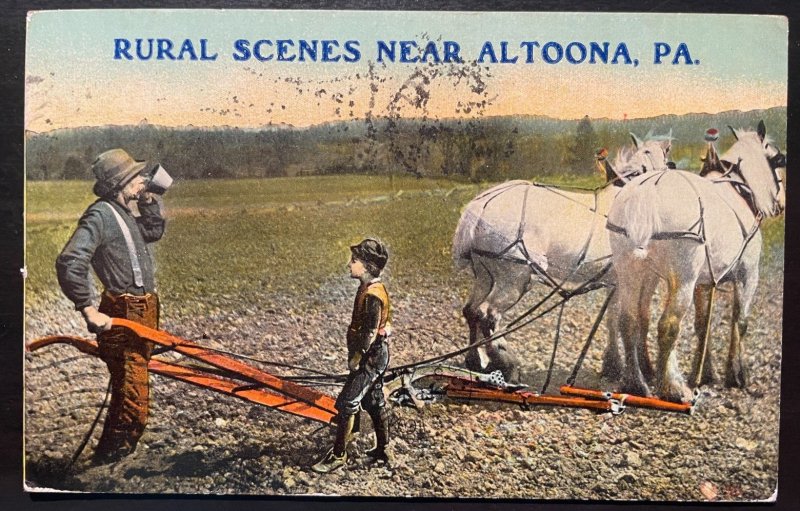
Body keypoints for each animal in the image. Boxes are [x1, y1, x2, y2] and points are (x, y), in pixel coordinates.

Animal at [454, 134, 672, 382]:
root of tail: (480, 205)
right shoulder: (638, 278)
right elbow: (636, 319)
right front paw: (642, 369)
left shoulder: (614, 281)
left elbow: (611, 319)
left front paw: (612, 365)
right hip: (515, 278)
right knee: (489, 315)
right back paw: (507, 363)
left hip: (485, 275)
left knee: (471, 311)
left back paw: (475, 360)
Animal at [608, 121, 784, 404]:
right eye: (780, 160)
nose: (780, 204)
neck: (739, 188)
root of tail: (647, 191)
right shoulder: (748, 275)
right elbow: (740, 321)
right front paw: (736, 374)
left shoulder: (704, 282)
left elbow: (703, 325)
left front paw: (704, 373)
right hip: (682, 279)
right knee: (668, 325)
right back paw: (672, 389)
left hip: (630, 274)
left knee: (630, 320)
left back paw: (634, 383)